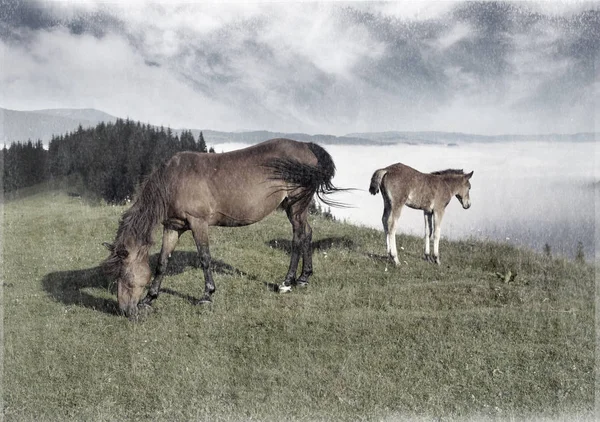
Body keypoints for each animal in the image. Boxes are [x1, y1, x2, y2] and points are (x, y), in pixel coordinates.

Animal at [103, 138, 342, 316]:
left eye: (124, 275)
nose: (124, 311)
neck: (172, 181)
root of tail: (307, 146)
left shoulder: (198, 223)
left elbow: (204, 258)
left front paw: (207, 296)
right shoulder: (173, 226)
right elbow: (162, 262)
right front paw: (149, 299)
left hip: (295, 205)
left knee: (298, 238)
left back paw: (287, 282)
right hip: (297, 208)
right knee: (307, 234)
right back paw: (303, 278)